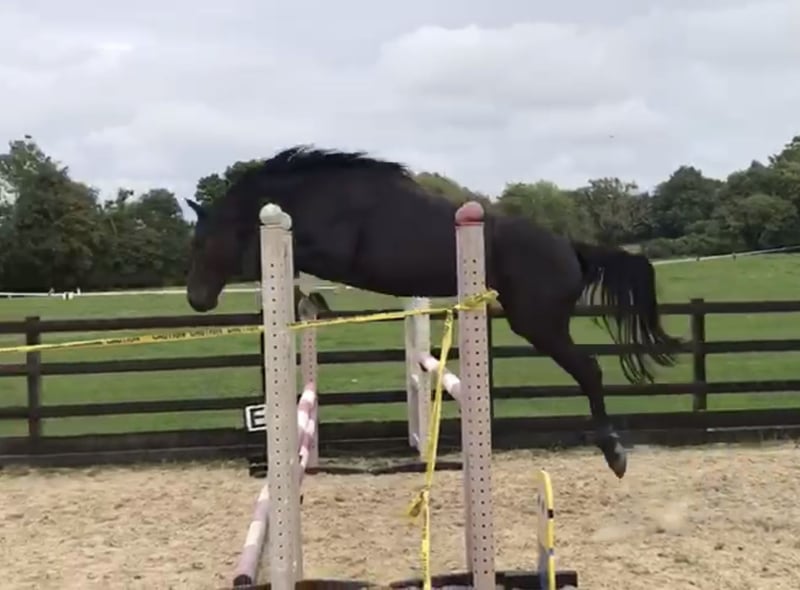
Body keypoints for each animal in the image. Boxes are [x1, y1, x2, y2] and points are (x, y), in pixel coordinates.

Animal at [185, 146, 682, 478]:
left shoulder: (333, 251)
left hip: (539, 324)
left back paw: (614, 453)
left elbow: (279, 260)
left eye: (202, 242)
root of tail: (571, 248)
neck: (320, 196)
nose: (196, 299)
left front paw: (312, 299)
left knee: (590, 370)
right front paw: (311, 302)